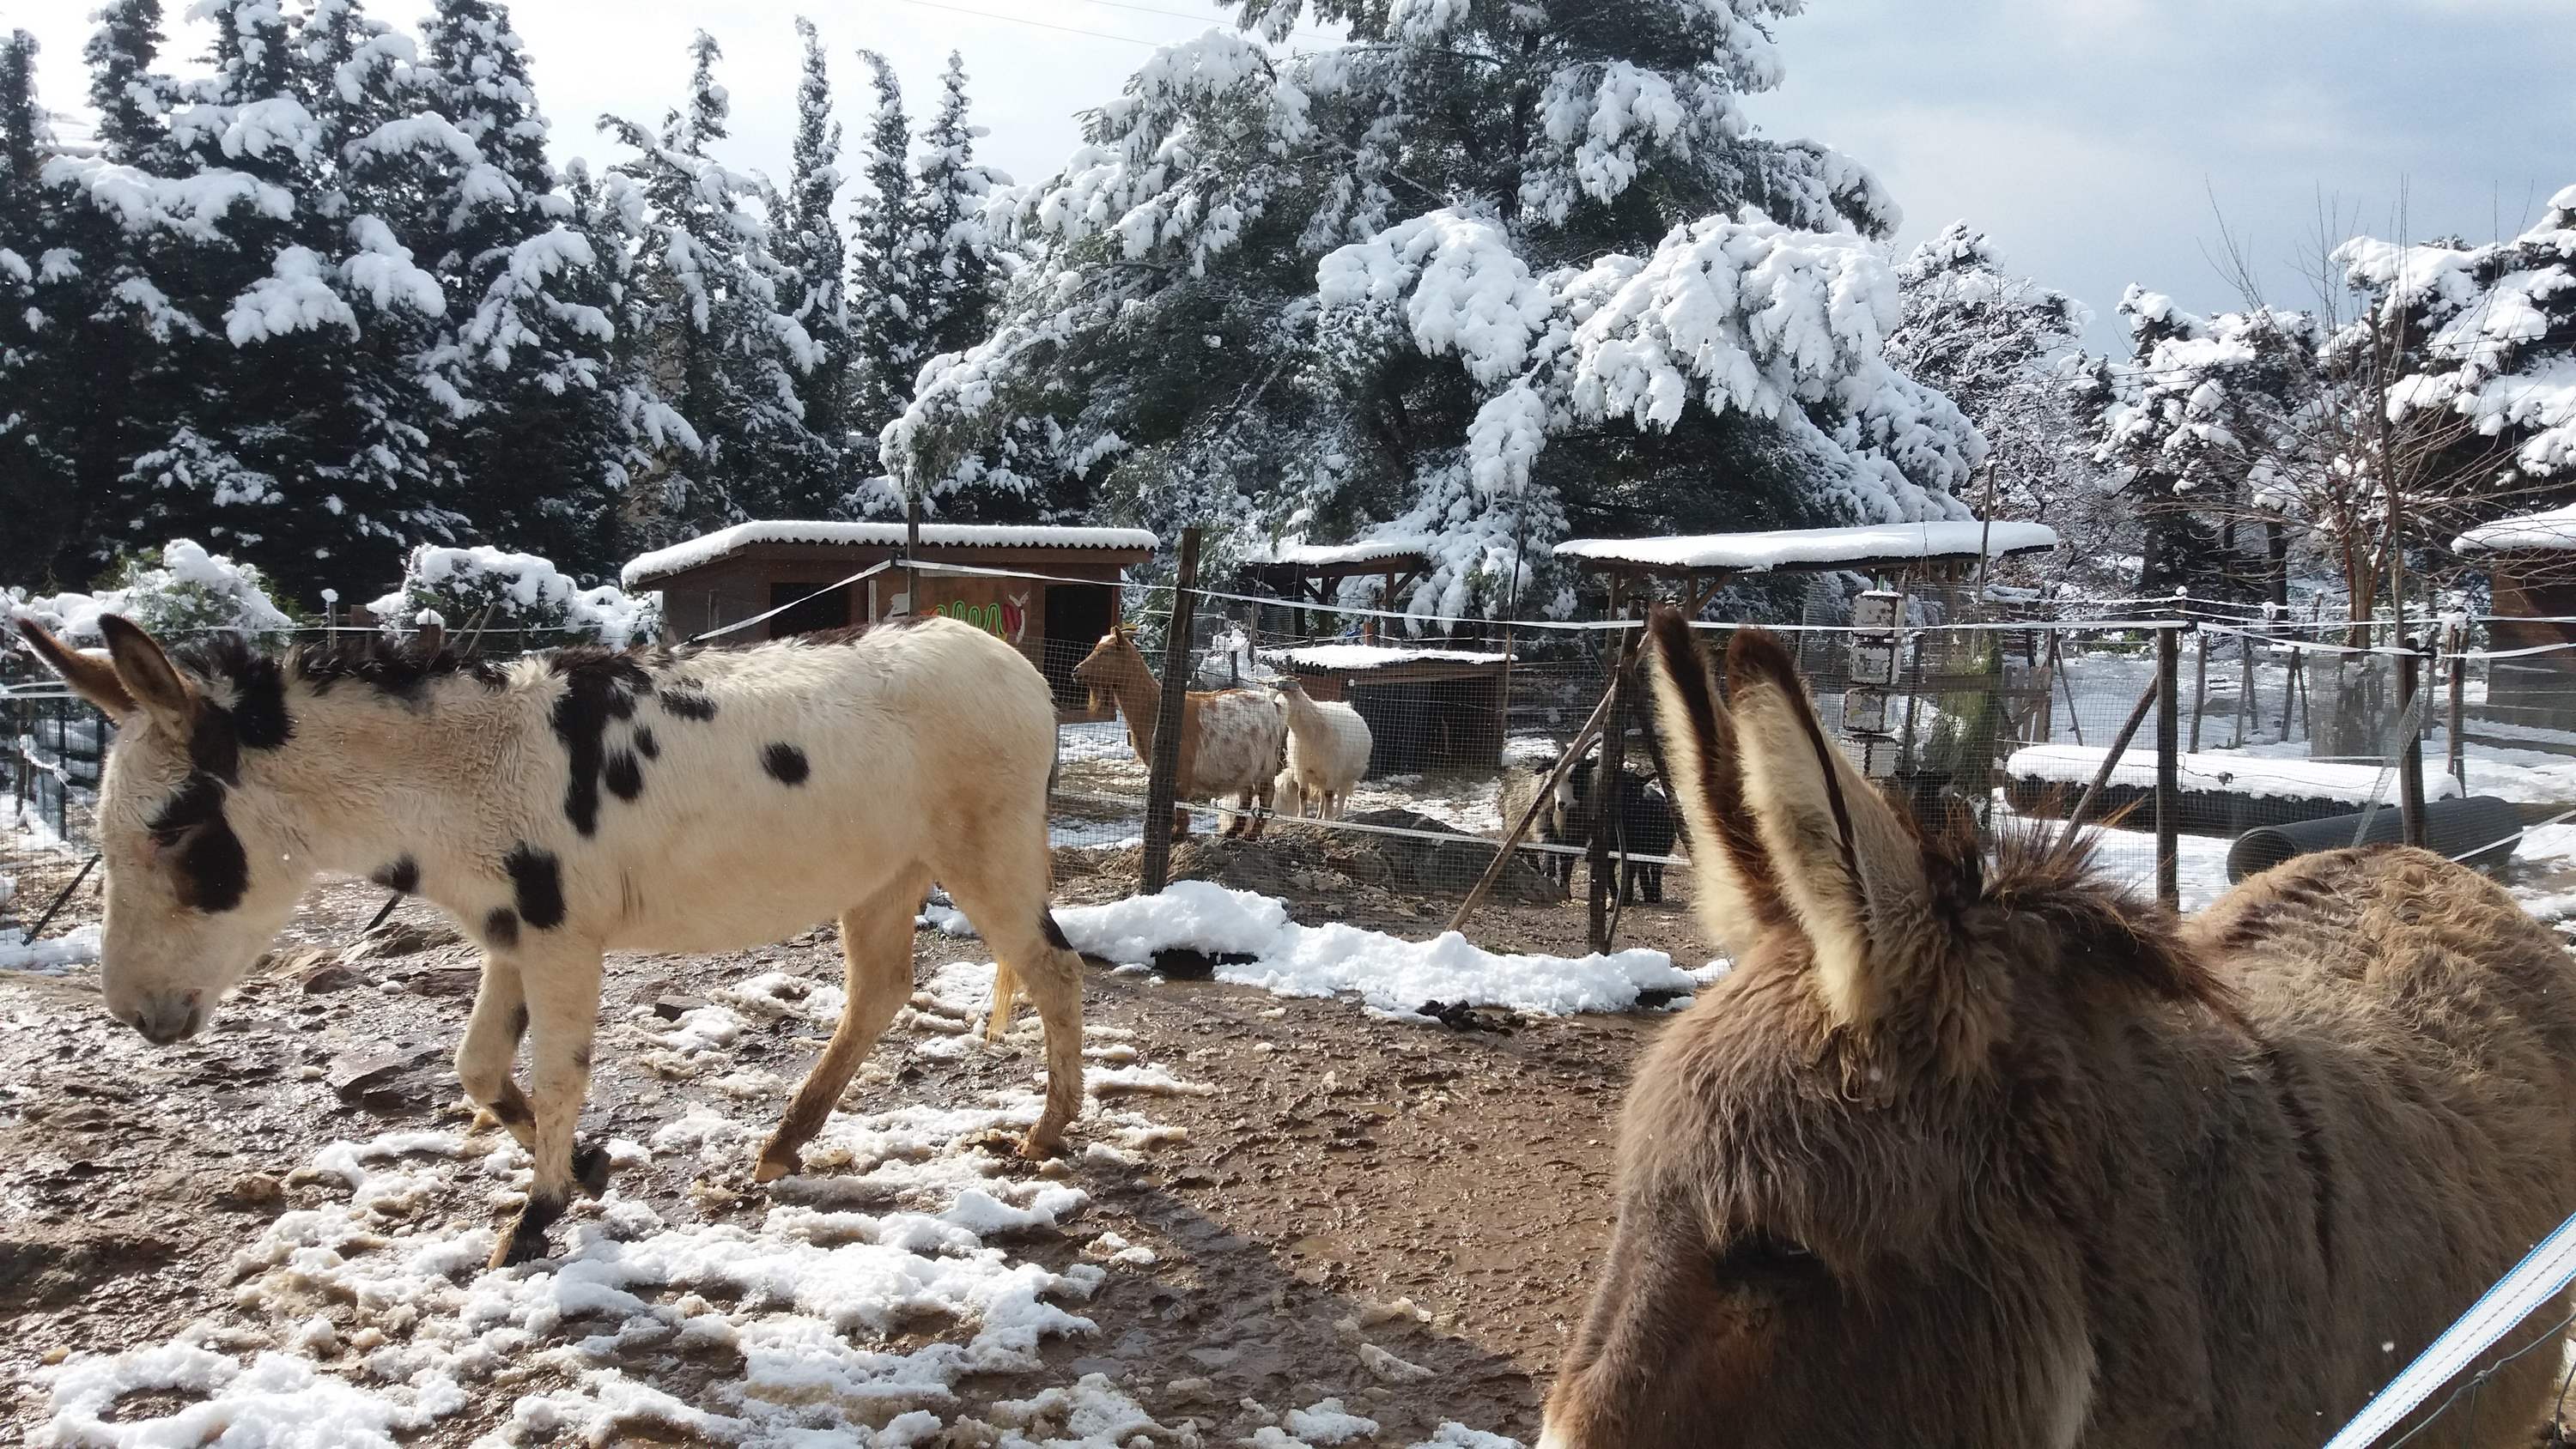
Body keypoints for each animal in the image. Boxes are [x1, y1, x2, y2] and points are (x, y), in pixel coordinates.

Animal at [20, 612, 1087, 1271]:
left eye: (170, 829)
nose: (134, 1013)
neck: (449, 778)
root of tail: (1006, 657)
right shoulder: (508, 931)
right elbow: (479, 1066)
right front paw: (584, 1167)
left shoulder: (564, 931)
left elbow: (562, 1066)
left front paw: (532, 1221)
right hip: (880, 873)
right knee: (879, 990)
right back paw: (784, 1143)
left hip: (983, 845)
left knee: (1052, 965)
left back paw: (1042, 1135)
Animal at [1072, 630, 1288, 844]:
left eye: (1106, 652)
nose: (1076, 670)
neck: (1157, 709)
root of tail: (1275, 707)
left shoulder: (1181, 770)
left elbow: (1180, 801)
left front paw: (1177, 834)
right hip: (1247, 767)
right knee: (1246, 793)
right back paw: (1233, 832)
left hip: (1266, 765)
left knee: (1266, 795)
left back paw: (1253, 834)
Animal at [1267, 679, 1370, 823]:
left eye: (1281, 702)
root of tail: (1346, 705)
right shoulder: (1301, 770)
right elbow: (1303, 793)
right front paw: (1302, 817)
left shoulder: (1333, 770)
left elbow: (1330, 795)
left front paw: (1327, 818)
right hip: (1321, 776)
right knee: (1322, 797)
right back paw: (1318, 817)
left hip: (1346, 775)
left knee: (1340, 795)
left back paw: (1338, 816)